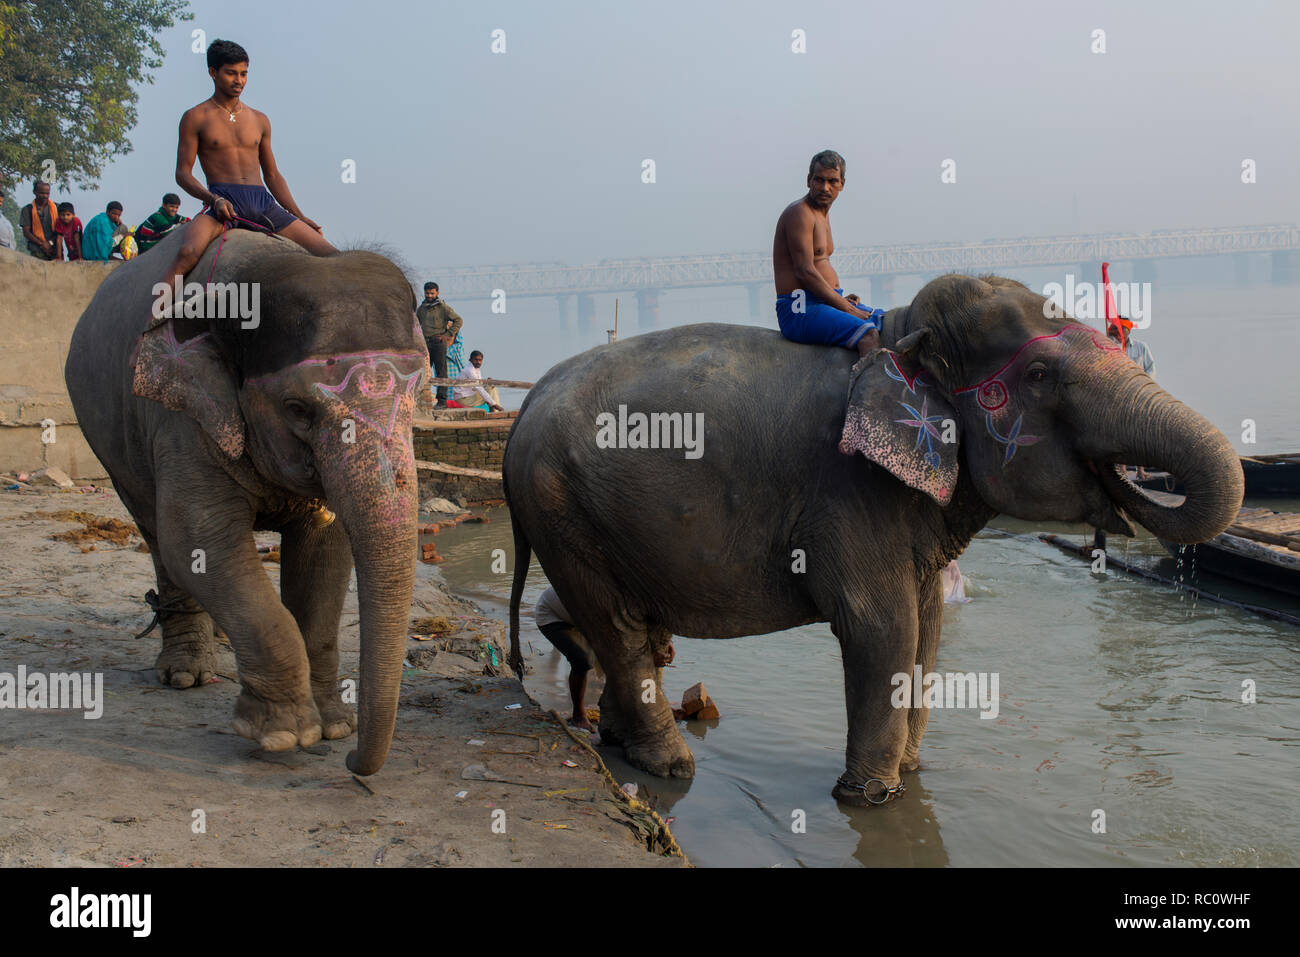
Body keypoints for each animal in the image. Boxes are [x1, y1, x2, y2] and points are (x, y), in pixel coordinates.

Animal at [65, 231, 426, 780]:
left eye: (420, 394)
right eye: (297, 409)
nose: (352, 763)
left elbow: (326, 550)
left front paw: (333, 726)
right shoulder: (181, 417)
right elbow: (201, 542)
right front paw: (284, 735)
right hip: (111, 445)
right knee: (159, 536)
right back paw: (187, 673)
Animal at [501, 273, 1242, 806]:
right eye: (1038, 377)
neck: (902, 337)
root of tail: (525, 404)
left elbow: (929, 626)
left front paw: (910, 774)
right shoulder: (852, 489)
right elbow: (881, 625)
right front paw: (867, 798)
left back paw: (617, 742)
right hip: (561, 508)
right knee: (618, 627)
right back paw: (670, 766)